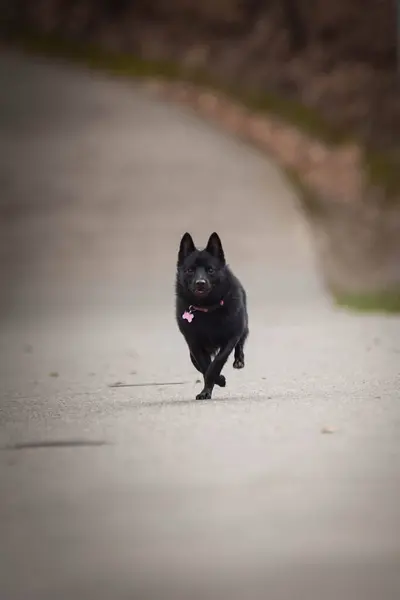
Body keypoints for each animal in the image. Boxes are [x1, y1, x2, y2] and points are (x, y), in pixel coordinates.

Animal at [176, 232, 248, 400]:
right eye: (190, 270)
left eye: (210, 270)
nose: (200, 283)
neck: (206, 308)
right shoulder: (194, 344)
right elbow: (204, 366)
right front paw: (209, 389)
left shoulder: (231, 337)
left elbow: (217, 363)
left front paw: (216, 380)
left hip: (243, 326)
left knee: (241, 342)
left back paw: (239, 360)